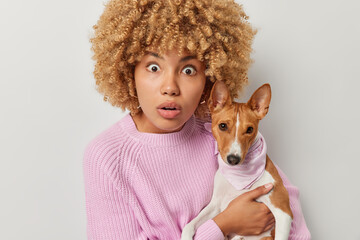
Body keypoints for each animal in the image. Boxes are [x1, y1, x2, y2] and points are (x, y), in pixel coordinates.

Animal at [183, 81, 292, 240]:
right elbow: (189, 225)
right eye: (223, 126)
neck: (240, 177)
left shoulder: (283, 212)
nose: (233, 159)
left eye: (250, 129)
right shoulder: (215, 204)